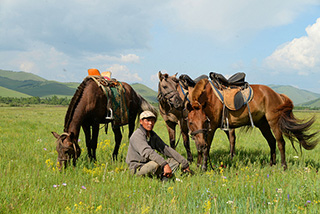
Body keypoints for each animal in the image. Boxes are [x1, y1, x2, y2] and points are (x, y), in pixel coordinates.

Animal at [186, 77, 318, 171]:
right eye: (191, 122)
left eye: (204, 121)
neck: (210, 98)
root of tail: (276, 95)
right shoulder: (203, 133)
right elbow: (201, 147)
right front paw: (198, 166)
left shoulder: (211, 127)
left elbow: (207, 147)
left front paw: (204, 167)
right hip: (263, 125)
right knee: (271, 141)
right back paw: (272, 164)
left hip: (274, 123)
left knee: (280, 143)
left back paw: (283, 166)